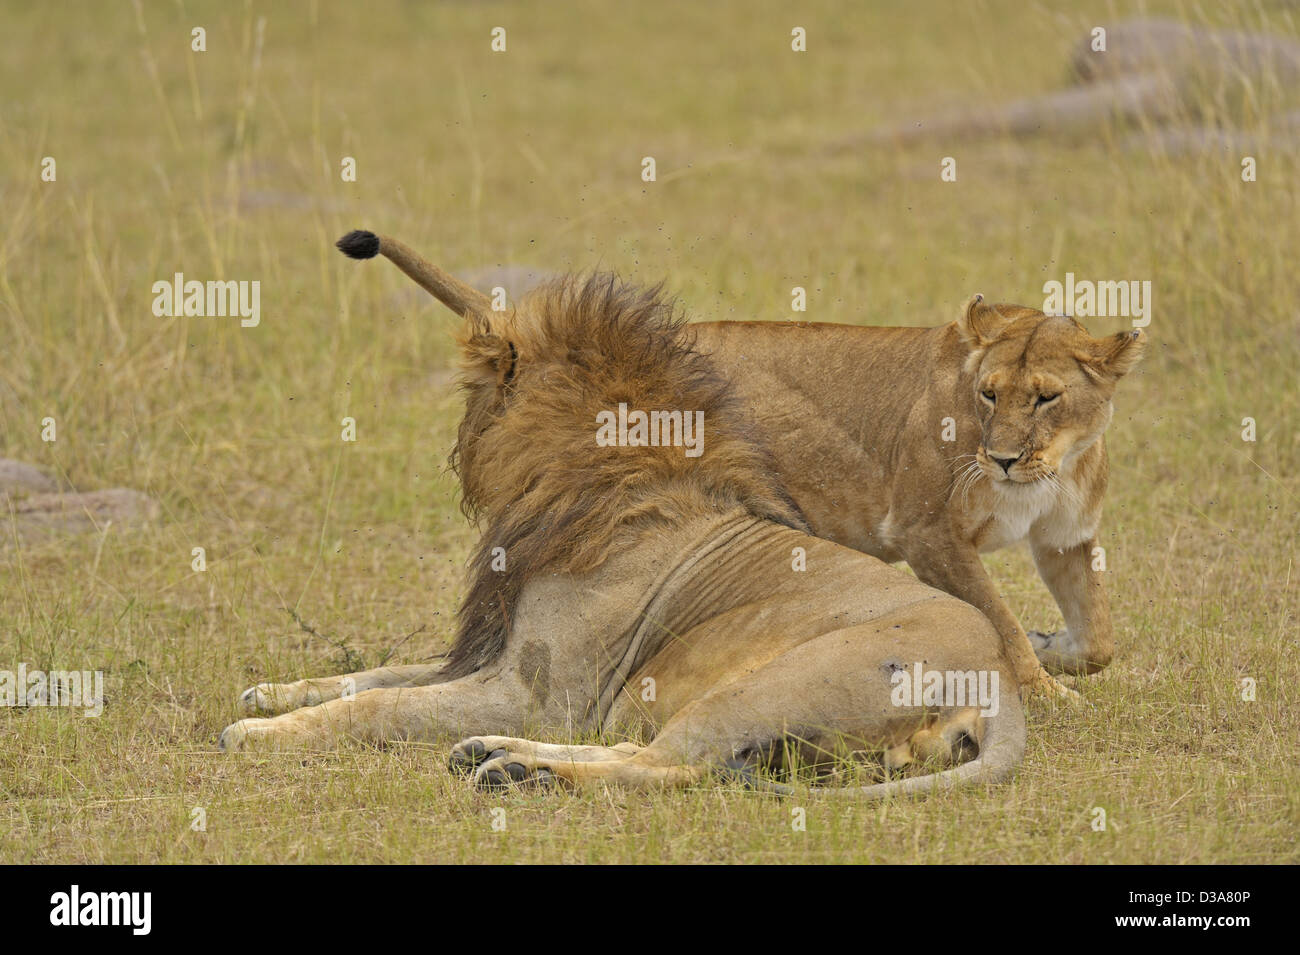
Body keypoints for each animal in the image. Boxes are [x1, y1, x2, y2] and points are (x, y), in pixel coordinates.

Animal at [217, 230, 1025, 798]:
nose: (453, 451)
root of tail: (1001, 687)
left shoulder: (534, 695)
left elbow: (376, 708)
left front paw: (256, 732)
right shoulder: (493, 656)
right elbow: (375, 675)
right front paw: (274, 692)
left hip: (764, 686)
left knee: (670, 764)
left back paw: (515, 770)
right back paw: (495, 757)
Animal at [317, 233, 1145, 700]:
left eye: (1045, 397)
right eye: (988, 392)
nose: (1001, 458)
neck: (1051, 467)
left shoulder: (1066, 538)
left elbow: (1099, 634)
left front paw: (1060, 649)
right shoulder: (926, 532)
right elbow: (996, 617)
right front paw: (1046, 689)